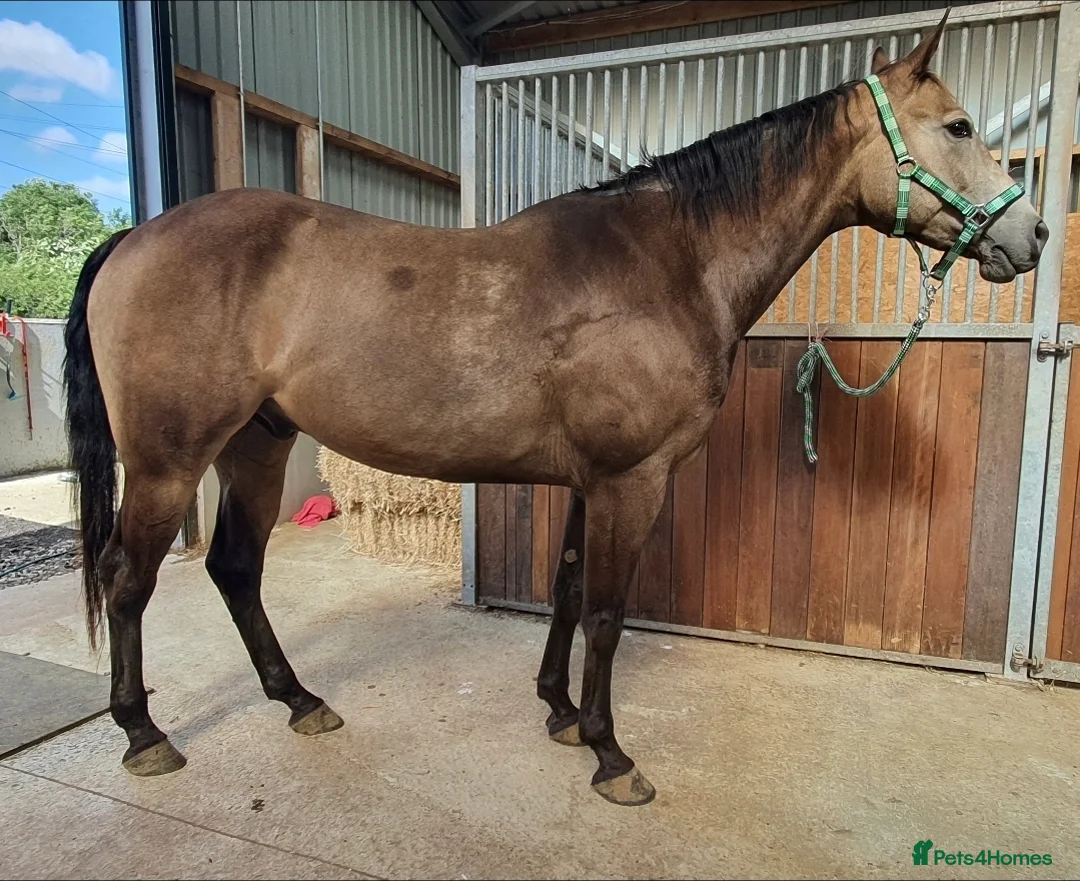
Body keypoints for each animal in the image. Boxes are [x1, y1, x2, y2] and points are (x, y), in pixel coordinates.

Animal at [64, 12, 1046, 806]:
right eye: (959, 126)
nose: (1031, 235)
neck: (668, 262)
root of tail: (134, 237)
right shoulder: (632, 480)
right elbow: (608, 611)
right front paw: (614, 756)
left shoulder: (589, 482)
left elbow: (568, 591)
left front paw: (562, 713)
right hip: (166, 462)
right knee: (127, 577)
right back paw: (145, 735)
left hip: (257, 446)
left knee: (234, 568)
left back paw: (301, 701)